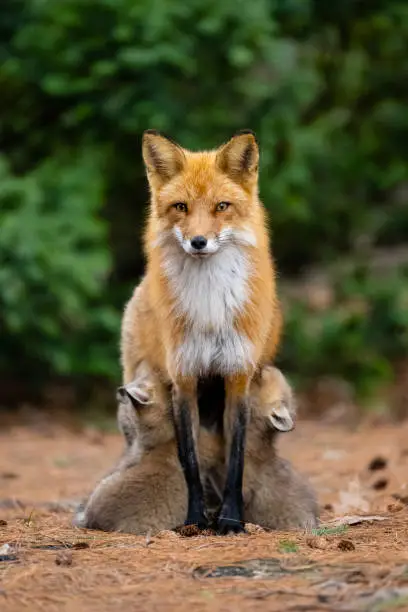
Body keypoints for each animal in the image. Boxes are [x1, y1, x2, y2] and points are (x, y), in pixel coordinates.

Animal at [121, 131, 280, 532]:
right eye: (181, 207)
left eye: (222, 206)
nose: (198, 242)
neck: (209, 306)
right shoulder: (184, 378)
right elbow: (189, 462)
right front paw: (194, 519)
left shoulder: (238, 377)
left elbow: (235, 462)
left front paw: (231, 520)